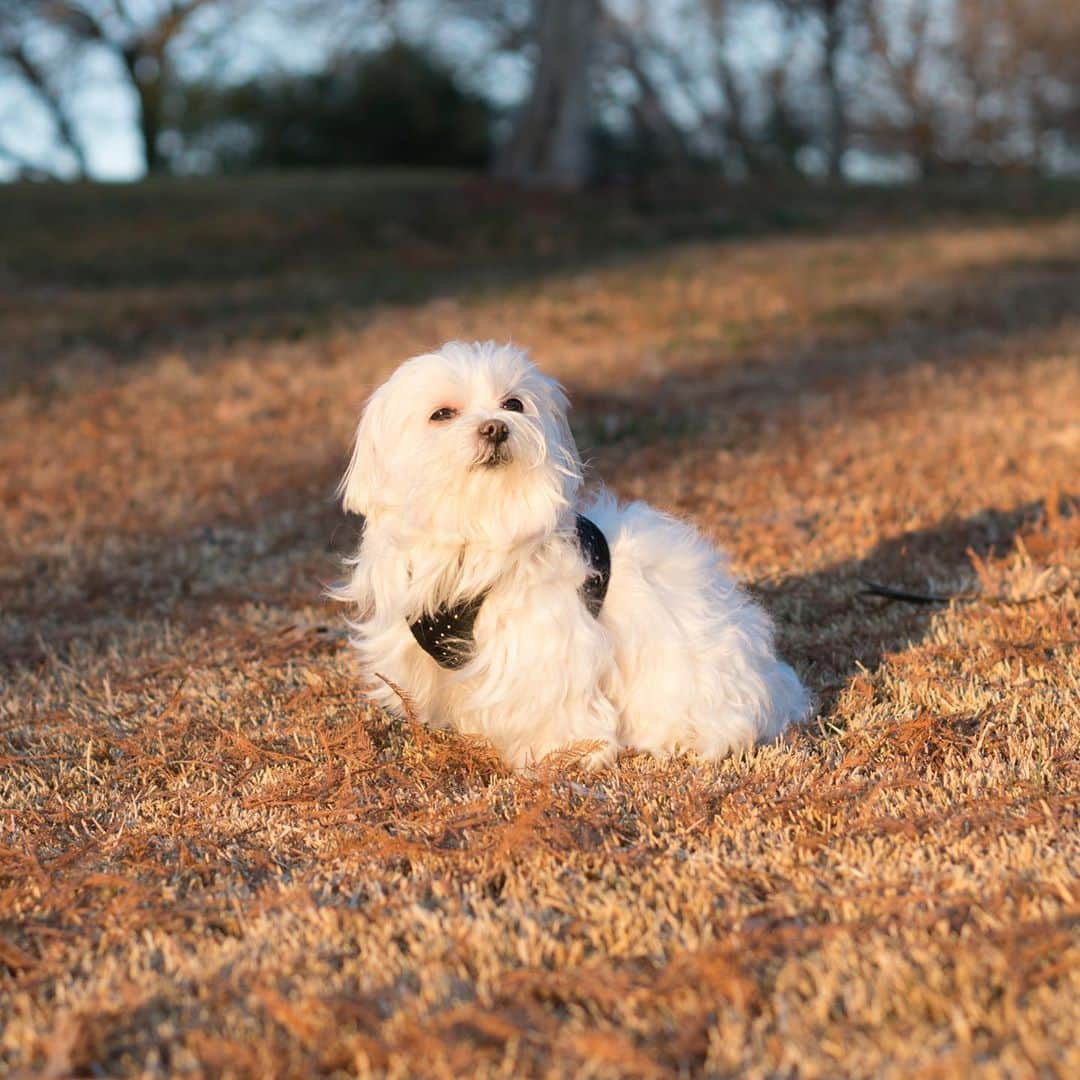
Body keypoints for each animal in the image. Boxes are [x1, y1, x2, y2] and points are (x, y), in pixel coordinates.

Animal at [334, 339, 812, 768]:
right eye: (442, 414)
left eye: (513, 403)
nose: (495, 427)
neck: (476, 525)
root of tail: (772, 683)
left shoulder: (543, 645)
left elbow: (552, 704)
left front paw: (563, 754)